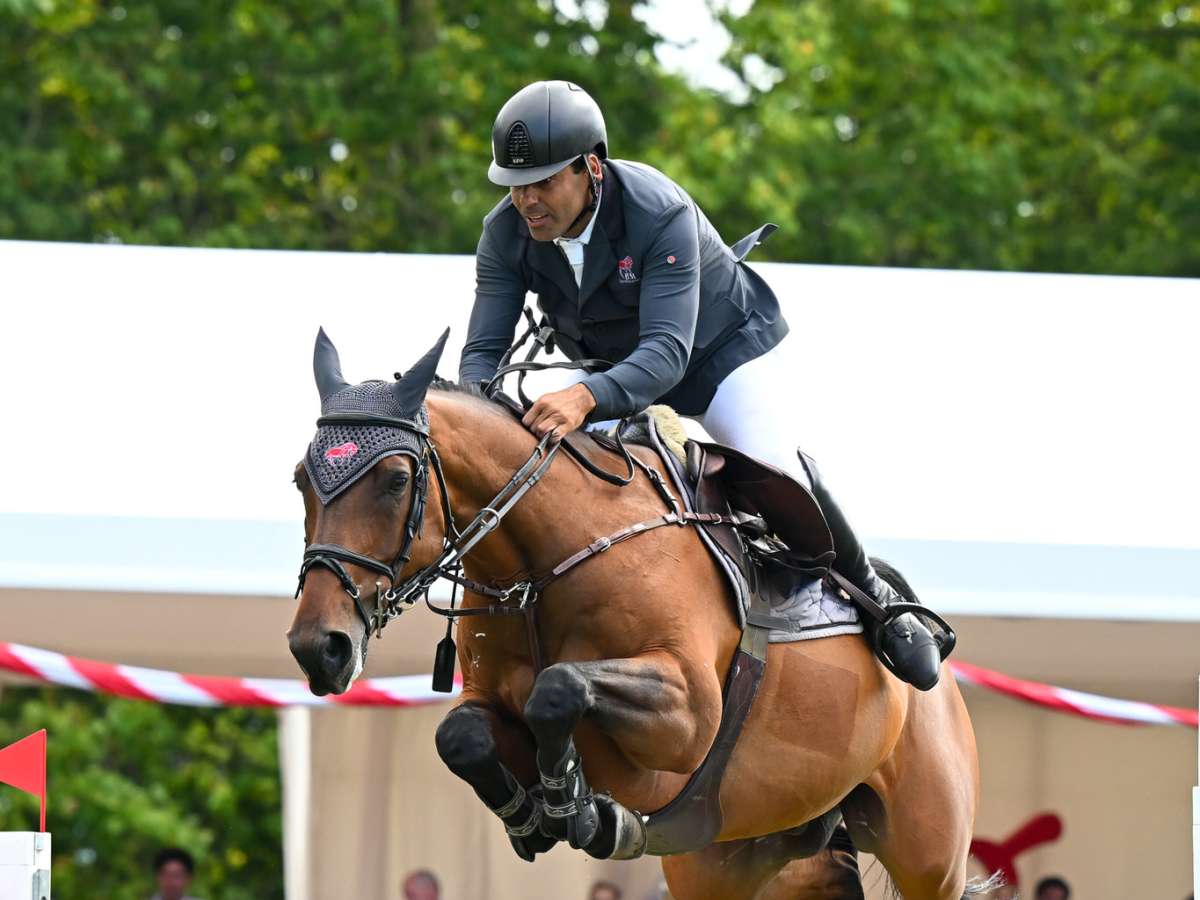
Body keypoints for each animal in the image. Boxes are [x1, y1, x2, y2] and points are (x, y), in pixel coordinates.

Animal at [290, 331, 984, 900]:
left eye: (395, 479)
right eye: (300, 478)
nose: (318, 648)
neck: (543, 566)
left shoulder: (688, 713)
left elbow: (559, 688)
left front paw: (577, 805)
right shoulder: (489, 699)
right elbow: (460, 735)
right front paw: (533, 816)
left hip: (930, 853)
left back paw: (907, 636)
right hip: (736, 857)